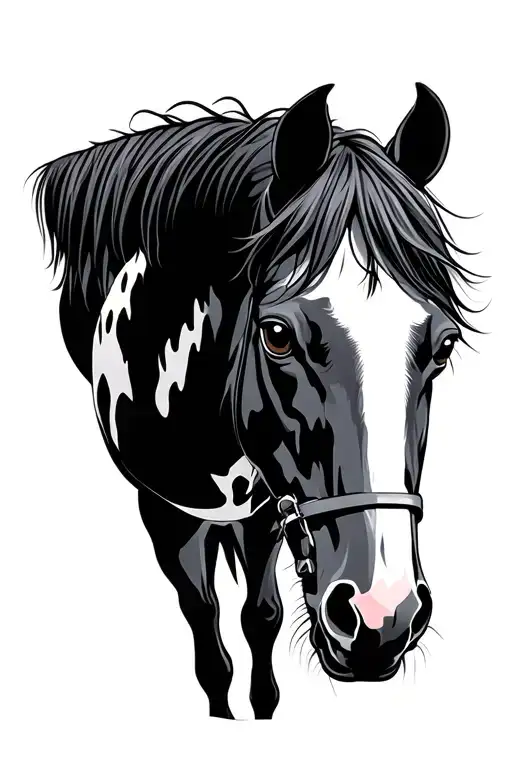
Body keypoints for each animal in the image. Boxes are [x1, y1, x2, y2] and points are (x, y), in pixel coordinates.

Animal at [32, 82, 479, 720]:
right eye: (277, 334)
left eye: (444, 344)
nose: (381, 617)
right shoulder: (162, 510)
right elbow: (207, 626)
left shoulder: (272, 506)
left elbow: (261, 618)